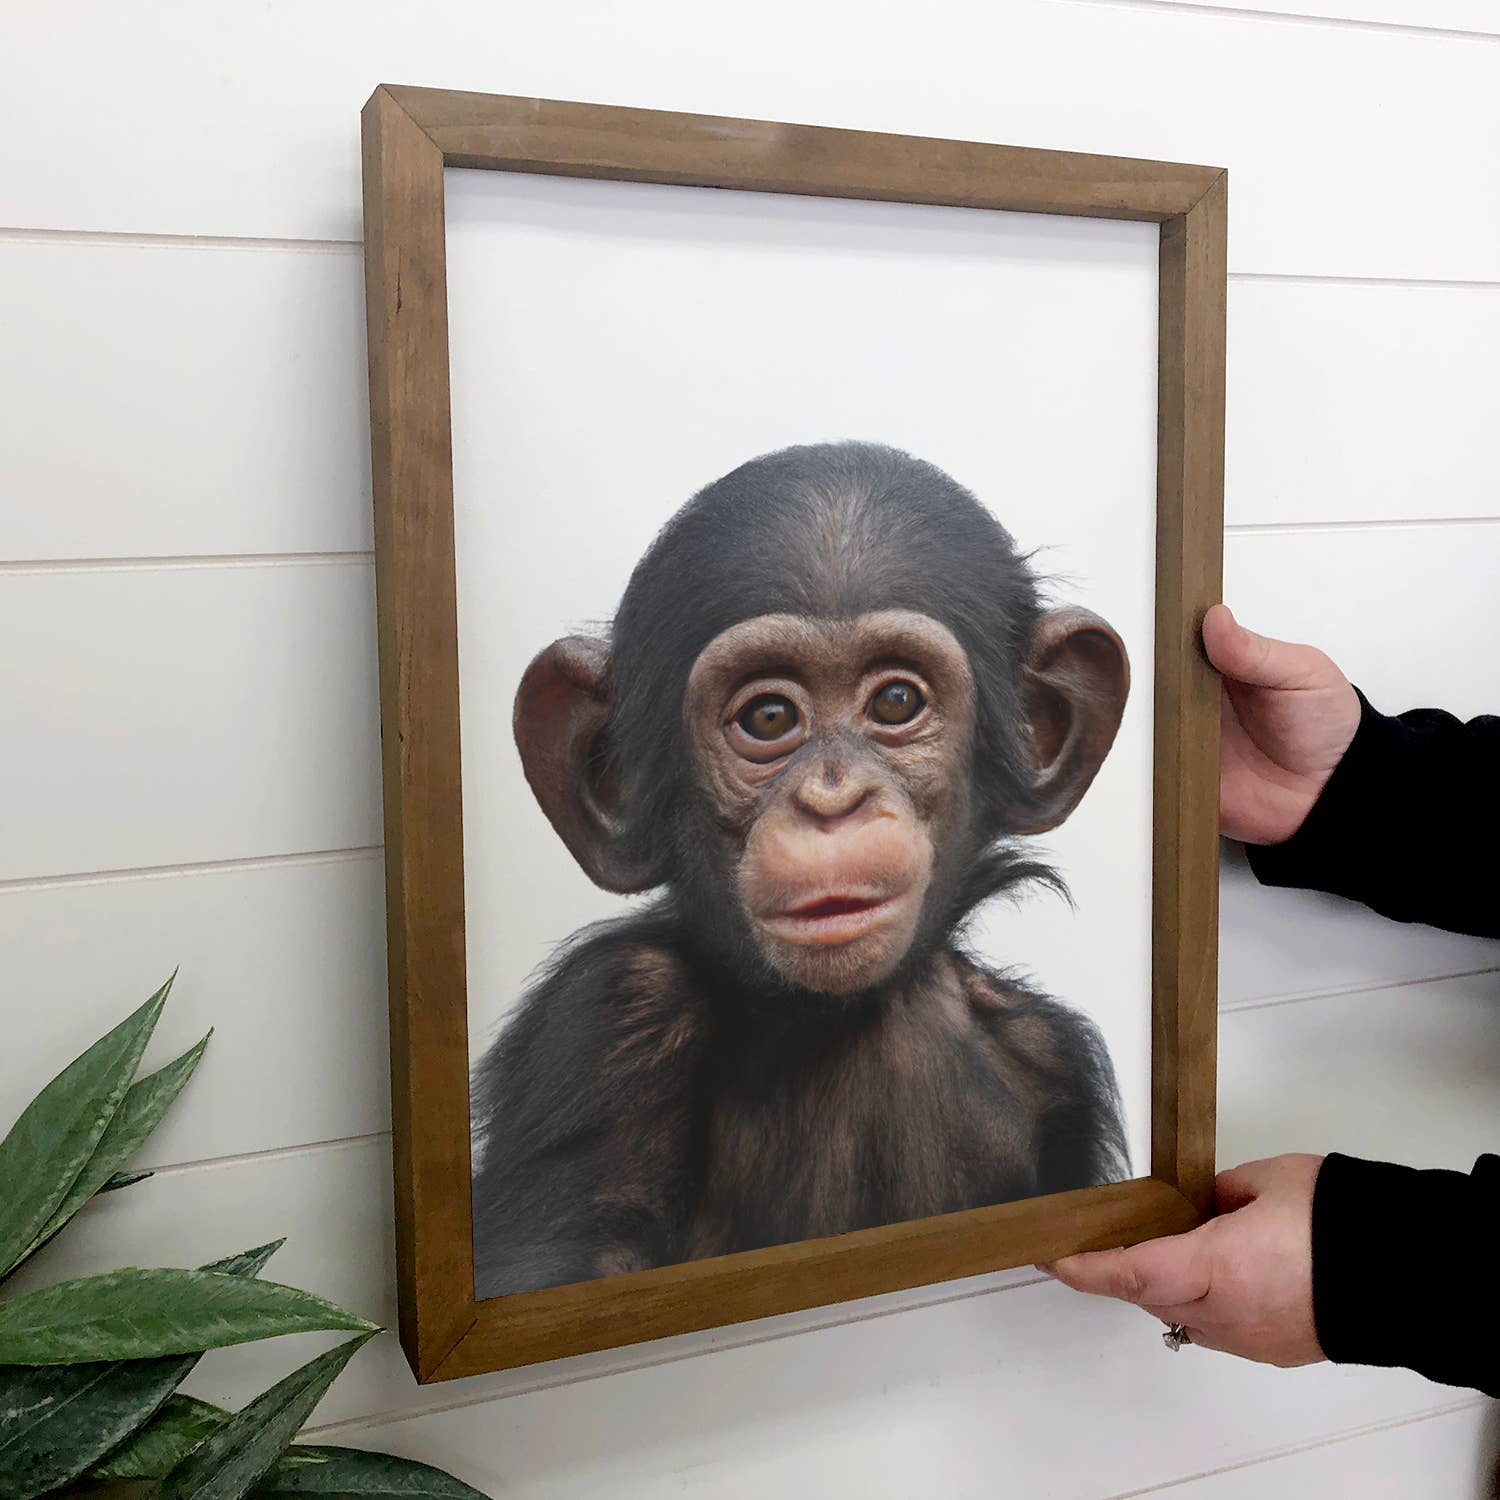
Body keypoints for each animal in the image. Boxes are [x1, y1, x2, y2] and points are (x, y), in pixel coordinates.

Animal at [470, 440, 1132, 1300]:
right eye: (769, 717)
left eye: (895, 701)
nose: (833, 798)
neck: (836, 1016)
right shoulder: (611, 1017)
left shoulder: (1054, 1064)